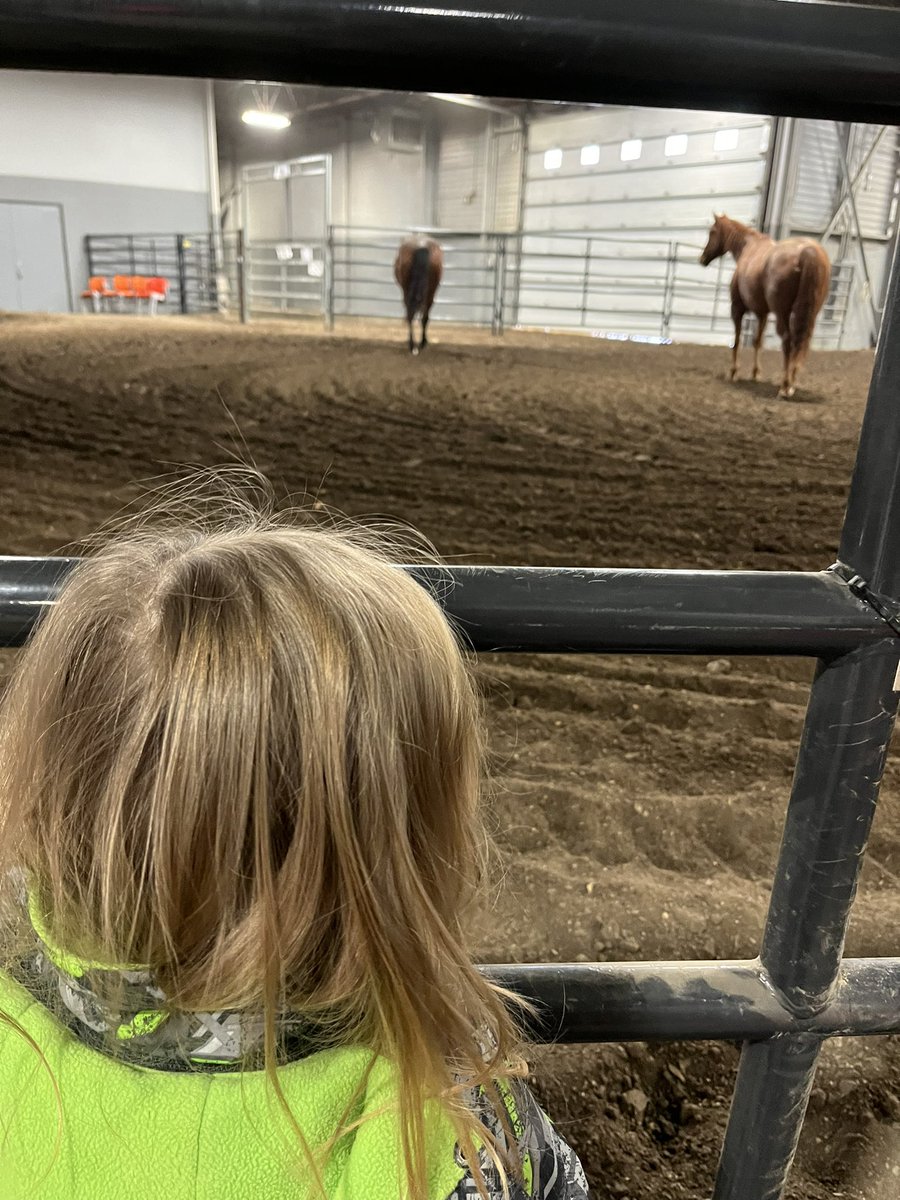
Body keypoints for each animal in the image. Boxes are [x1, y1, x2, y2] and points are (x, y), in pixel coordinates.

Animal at [700, 214, 835, 398]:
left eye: (712, 232)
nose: (702, 259)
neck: (748, 247)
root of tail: (808, 252)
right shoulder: (762, 313)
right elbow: (758, 341)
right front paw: (756, 373)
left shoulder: (737, 309)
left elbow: (737, 339)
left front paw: (734, 372)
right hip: (810, 314)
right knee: (801, 342)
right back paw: (791, 383)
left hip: (782, 313)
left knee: (787, 340)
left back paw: (785, 386)